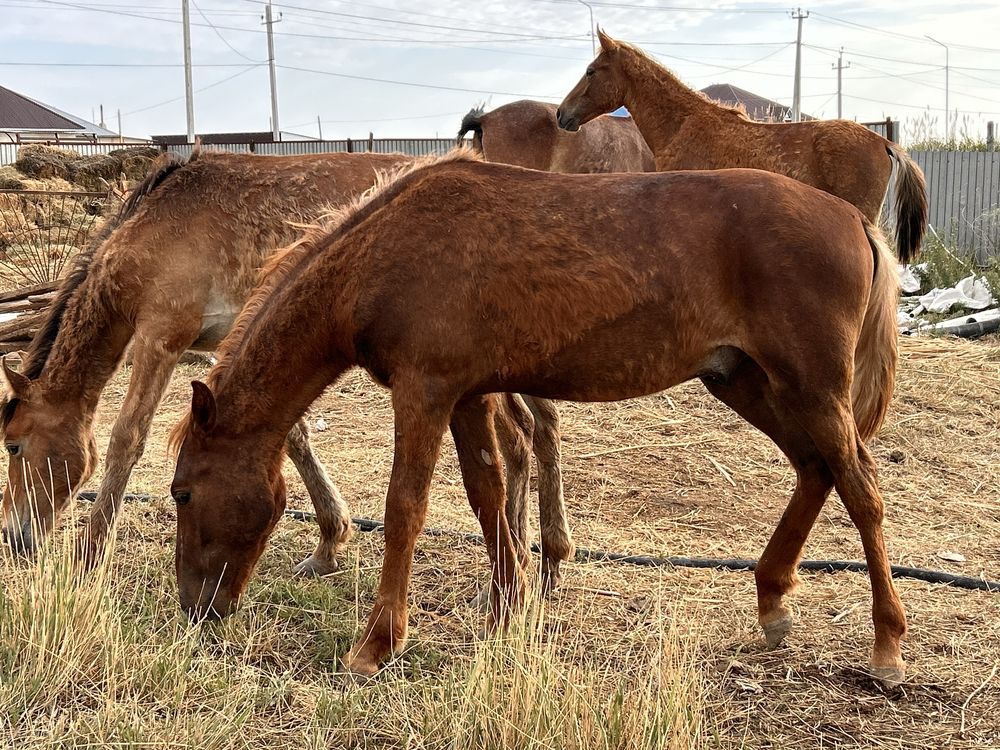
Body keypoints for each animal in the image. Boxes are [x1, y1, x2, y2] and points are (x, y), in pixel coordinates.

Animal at [170, 151, 908, 688]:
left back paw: (886, 647)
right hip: (747, 382)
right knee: (816, 470)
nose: (194, 610)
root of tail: (853, 219)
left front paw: (378, 645)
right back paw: (774, 600)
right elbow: (486, 492)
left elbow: (406, 509)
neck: (384, 254)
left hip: (811, 387)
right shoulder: (466, 395)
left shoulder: (424, 392)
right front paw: (507, 604)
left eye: (181, 492)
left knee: (862, 488)